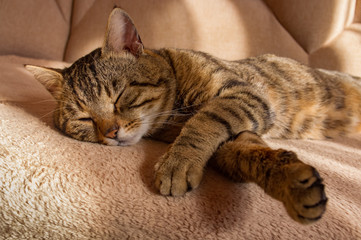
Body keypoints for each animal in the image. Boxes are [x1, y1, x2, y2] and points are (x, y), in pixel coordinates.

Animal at [26, 7, 360, 225]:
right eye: (84, 119)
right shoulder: (232, 139)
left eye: (119, 97)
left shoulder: (243, 93)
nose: (110, 133)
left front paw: (177, 163)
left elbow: (204, 121)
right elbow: (251, 154)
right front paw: (292, 183)